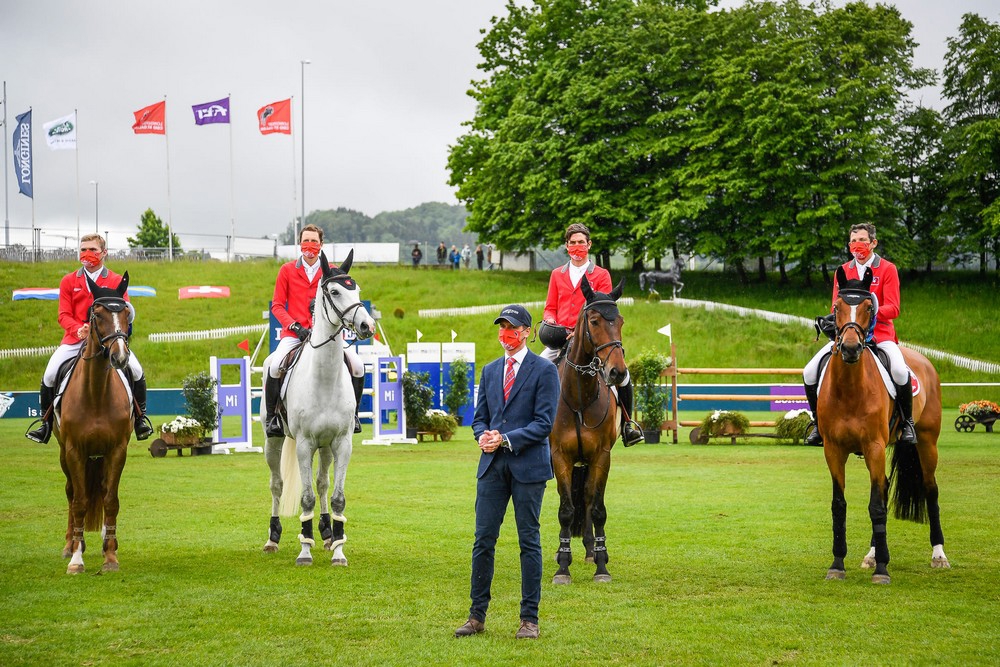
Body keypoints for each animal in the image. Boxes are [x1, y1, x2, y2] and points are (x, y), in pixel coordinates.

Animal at [55, 272, 135, 576]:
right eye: (97, 315)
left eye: (125, 313)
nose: (120, 357)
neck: (97, 391)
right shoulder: (74, 451)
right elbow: (79, 502)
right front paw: (77, 559)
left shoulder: (117, 450)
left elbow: (111, 500)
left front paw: (110, 556)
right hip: (64, 453)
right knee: (71, 493)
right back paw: (70, 545)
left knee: (100, 490)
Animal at [262, 253, 376, 568]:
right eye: (334, 292)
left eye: (357, 290)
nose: (367, 326)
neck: (324, 378)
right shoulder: (304, 445)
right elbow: (306, 498)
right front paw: (304, 551)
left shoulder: (342, 443)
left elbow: (336, 497)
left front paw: (338, 550)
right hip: (273, 441)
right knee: (277, 484)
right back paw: (273, 538)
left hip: (326, 447)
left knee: (323, 483)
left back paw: (326, 532)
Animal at [816, 266, 948, 584]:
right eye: (836, 308)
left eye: (868, 307)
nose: (851, 349)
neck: (850, 388)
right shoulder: (833, 450)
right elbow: (840, 505)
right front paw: (837, 564)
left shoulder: (874, 446)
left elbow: (875, 505)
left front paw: (882, 570)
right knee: (885, 487)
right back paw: (872, 554)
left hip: (927, 442)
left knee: (930, 489)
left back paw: (939, 555)